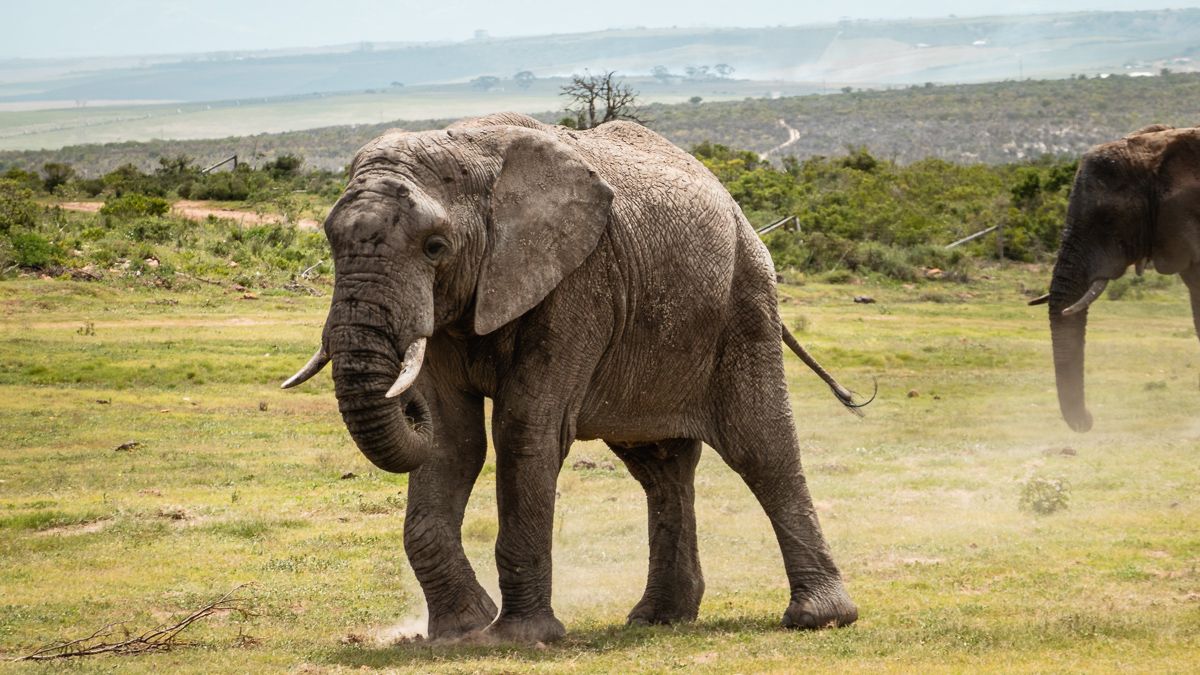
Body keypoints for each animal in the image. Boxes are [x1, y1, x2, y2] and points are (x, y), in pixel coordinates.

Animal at [281, 112, 860, 642]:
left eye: (435, 247)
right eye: (330, 240)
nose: (406, 399)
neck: (468, 152)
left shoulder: (580, 280)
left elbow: (525, 429)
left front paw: (519, 638)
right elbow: (451, 441)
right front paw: (461, 630)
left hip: (745, 303)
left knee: (761, 448)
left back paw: (819, 618)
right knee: (660, 467)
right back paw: (659, 618)